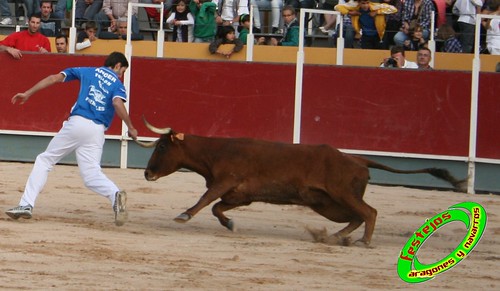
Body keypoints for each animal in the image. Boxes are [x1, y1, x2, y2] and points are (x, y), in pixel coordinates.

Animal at [134, 118, 464, 246]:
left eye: (161, 147)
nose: (147, 173)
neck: (215, 151)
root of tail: (358, 159)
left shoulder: (225, 181)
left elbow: (204, 200)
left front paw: (183, 215)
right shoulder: (240, 195)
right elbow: (217, 208)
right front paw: (231, 224)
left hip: (342, 194)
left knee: (369, 212)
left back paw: (362, 241)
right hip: (328, 204)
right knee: (357, 216)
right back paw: (335, 236)